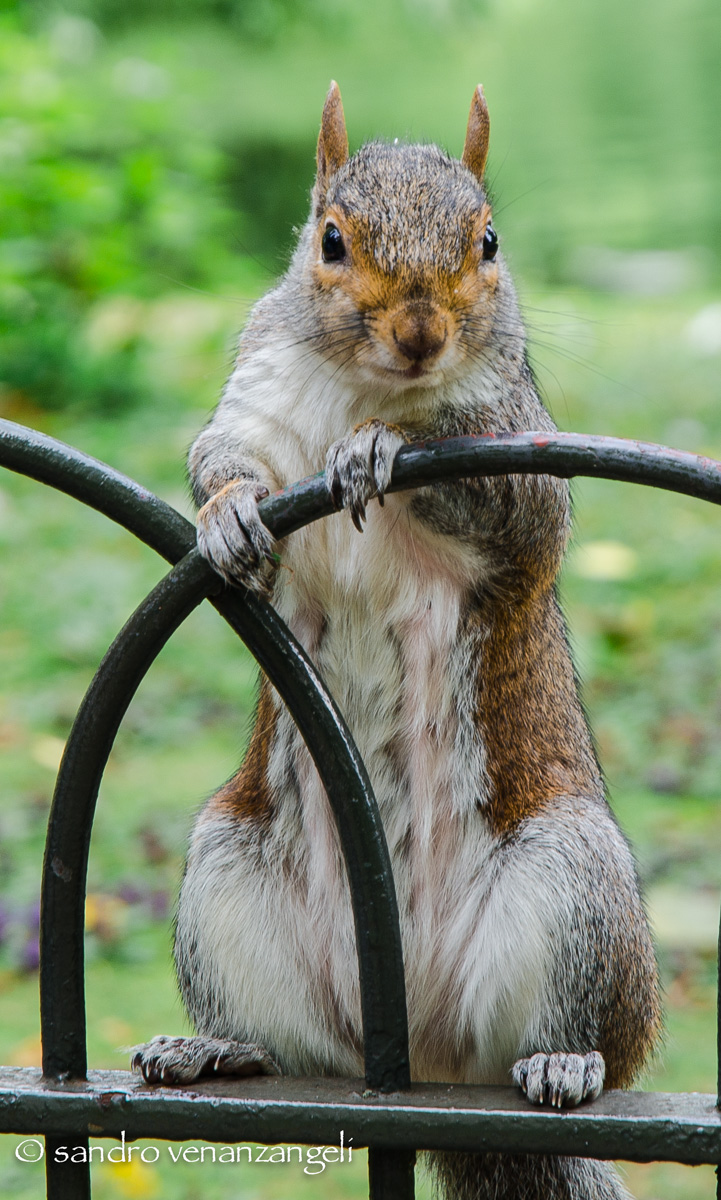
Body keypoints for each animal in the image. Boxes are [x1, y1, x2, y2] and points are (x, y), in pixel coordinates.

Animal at [132, 83, 661, 1200]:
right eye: (330, 240)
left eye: (489, 241)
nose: (420, 333)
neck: (364, 386)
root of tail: (422, 1066)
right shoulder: (255, 398)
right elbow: (219, 455)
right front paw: (226, 517)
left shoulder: (517, 444)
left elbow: (512, 504)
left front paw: (380, 446)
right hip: (226, 872)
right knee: (288, 1048)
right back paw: (213, 1048)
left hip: (574, 881)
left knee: (575, 1033)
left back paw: (566, 1060)